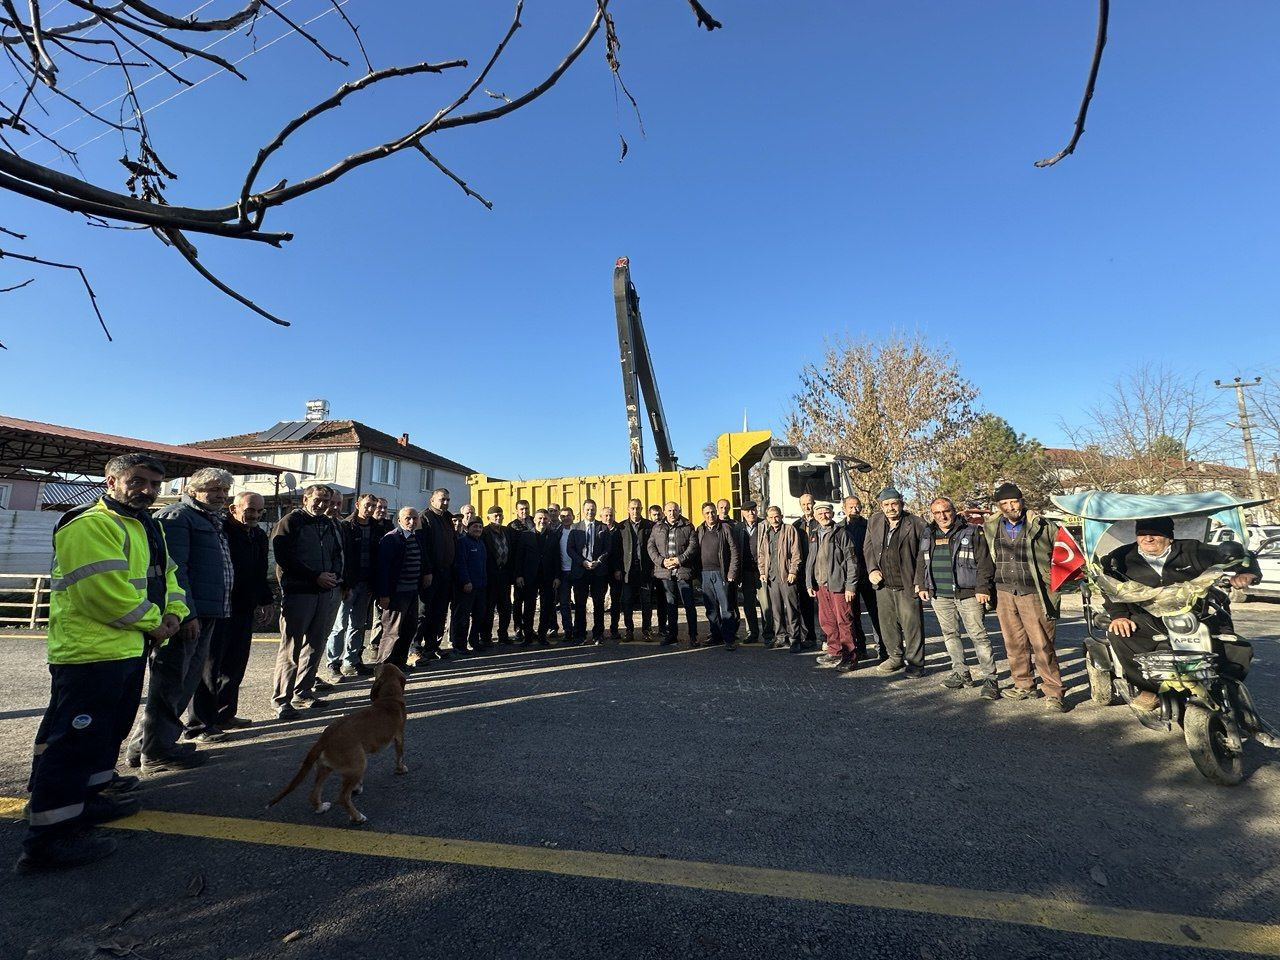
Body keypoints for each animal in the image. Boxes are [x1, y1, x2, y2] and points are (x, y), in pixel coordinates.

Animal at [266, 660, 409, 829]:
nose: (377, 664)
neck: (389, 697)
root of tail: (324, 738)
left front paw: (357, 787)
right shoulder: (399, 737)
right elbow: (399, 756)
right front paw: (401, 769)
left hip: (325, 768)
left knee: (314, 794)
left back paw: (321, 807)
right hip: (359, 764)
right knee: (342, 797)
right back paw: (357, 817)